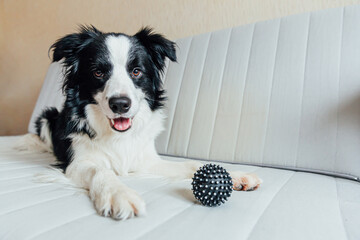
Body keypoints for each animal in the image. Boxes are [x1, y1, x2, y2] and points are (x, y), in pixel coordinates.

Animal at [19, 25, 262, 219]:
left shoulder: (146, 159)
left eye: (136, 71)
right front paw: (119, 194)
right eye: (98, 72)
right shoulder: (76, 163)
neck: (117, 135)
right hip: (47, 115)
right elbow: (101, 171)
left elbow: (190, 165)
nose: (120, 104)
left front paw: (236, 175)